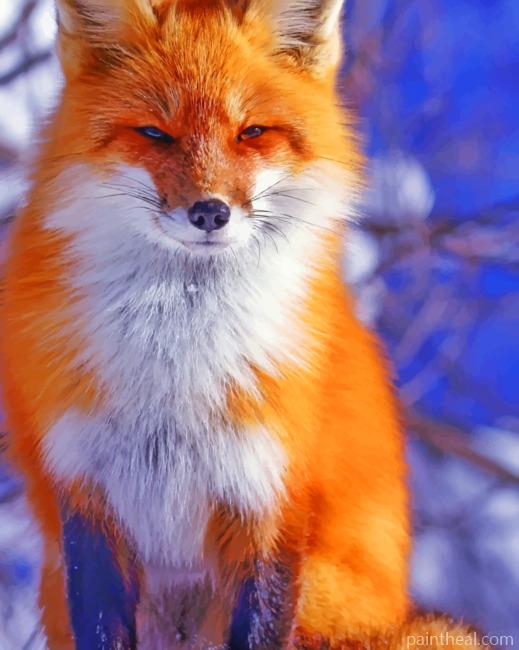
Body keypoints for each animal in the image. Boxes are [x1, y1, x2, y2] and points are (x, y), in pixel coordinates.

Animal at [1, 0, 485, 648]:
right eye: (156, 133)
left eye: (251, 132)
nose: (210, 211)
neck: (177, 375)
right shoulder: (87, 499)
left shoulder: (269, 501)